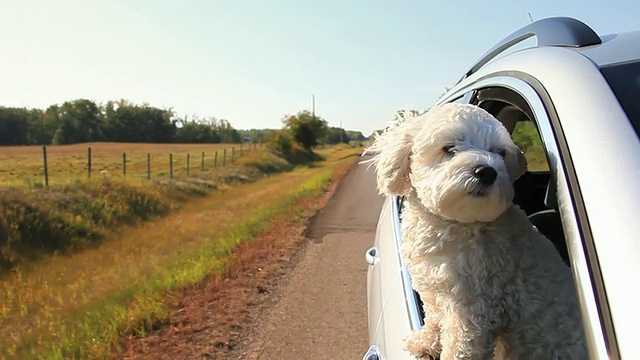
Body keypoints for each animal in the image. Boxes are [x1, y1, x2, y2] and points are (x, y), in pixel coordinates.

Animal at [370, 103, 584, 360]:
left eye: (499, 152)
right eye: (449, 148)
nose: (487, 171)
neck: (451, 223)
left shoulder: (474, 307)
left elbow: (460, 345)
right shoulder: (434, 289)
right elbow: (433, 316)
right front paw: (426, 342)